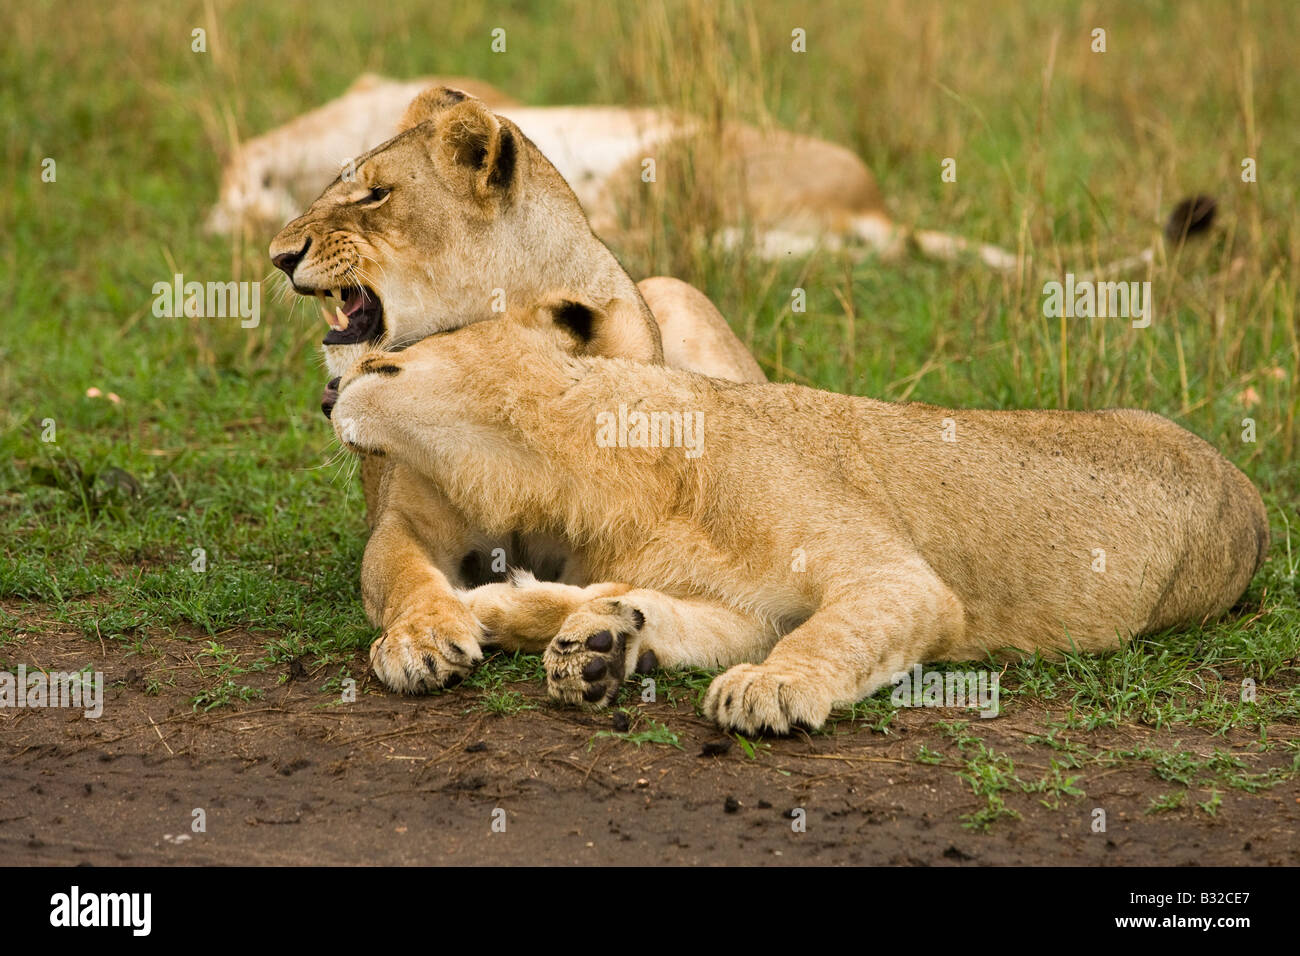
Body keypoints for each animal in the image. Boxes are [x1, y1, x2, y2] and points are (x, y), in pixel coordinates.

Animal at [326, 296, 1269, 733]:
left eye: (387, 356)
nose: (331, 389)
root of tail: (1252, 493)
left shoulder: (904, 583)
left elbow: (834, 633)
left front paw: (770, 688)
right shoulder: (745, 607)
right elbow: (680, 613)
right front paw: (590, 640)